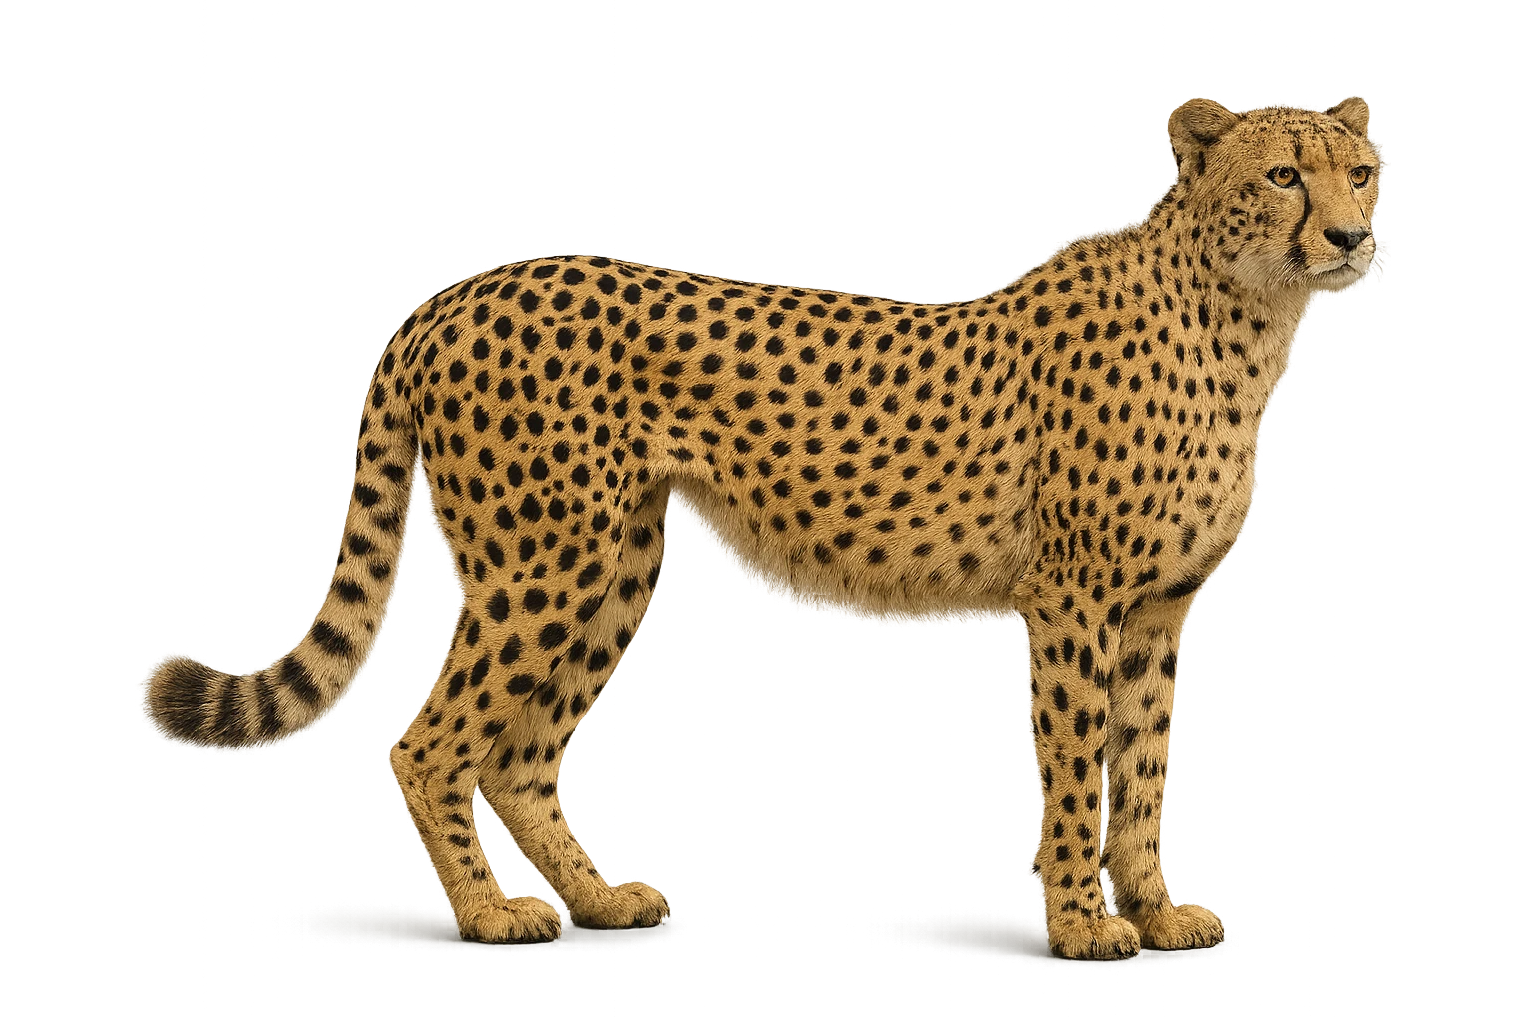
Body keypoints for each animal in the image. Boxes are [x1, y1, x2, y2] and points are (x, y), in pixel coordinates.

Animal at [140, 95, 1381, 960]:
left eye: (1361, 172)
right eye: (1282, 175)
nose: (1350, 237)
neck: (1242, 313)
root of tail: (455, 290)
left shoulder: (1159, 611)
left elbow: (1143, 766)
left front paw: (1156, 908)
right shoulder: (1073, 601)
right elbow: (1080, 764)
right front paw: (1081, 921)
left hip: (612, 566)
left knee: (519, 755)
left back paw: (593, 896)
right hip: (541, 564)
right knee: (431, 739)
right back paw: (490, 913)